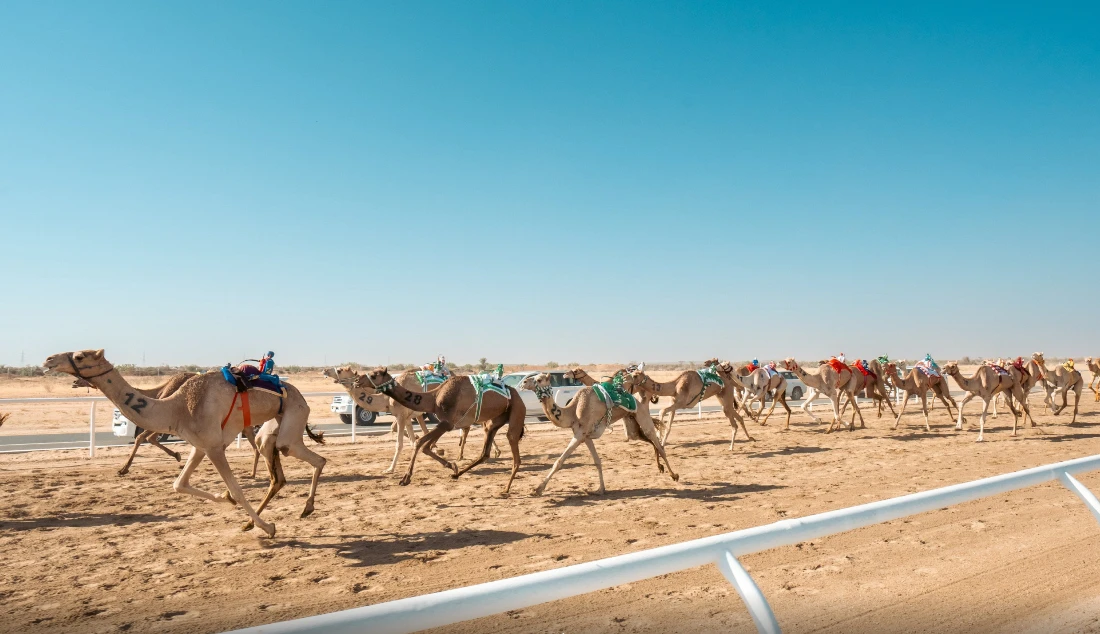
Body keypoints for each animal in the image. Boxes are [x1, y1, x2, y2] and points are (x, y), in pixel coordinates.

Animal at [44, 350, 326, 537]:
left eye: (81, 356)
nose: (48, 360)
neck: (176, 408)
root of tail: (300, 395)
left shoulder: (212, 446)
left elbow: (236, 489)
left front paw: (269, 527)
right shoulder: (200, 446)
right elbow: (179, 484)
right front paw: (225, 498)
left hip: (294, 414)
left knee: (307, 455)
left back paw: (305, 507)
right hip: (270, 429)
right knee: (278, 470)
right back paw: (288, 512)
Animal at [356, 367, 525, 493]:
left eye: (374, 375)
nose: (357, 380)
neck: (434, 398)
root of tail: (515, 393)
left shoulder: (447, 423)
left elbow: (419, 443)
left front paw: (405, 478)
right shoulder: (447, 424)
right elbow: (425, 446)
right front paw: (453, 466)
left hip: (516, 409)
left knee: (513, 445)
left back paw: (506, 489)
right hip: (496, 420)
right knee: (485, 452)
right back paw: (458, 475)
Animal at [520, 373, 677, 495]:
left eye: (539, 379)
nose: (524, 383)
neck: (572, 412)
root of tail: (638, 401)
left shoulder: (580, 434)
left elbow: (559, 461)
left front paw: (538, 489)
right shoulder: (585, 436)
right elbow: (597, 461)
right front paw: (600, 489)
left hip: (642, 415)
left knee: (658, 444)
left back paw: (674, 475)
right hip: (632, 424)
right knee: (649, 441)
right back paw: (660, 467)